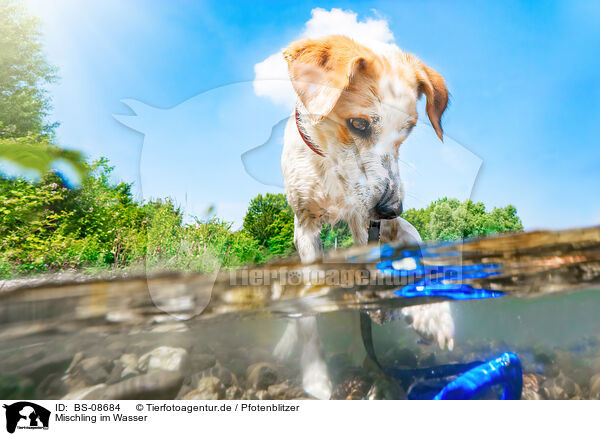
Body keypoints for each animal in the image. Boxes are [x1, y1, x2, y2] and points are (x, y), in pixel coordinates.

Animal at [276, 35, 454, 398]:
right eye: (358, 123)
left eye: (407, 130)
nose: (391, 209)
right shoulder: (305, 226)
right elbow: (310, 304)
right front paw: (316, 377)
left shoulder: (378, 223)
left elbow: (413, 248)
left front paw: (433, 314)